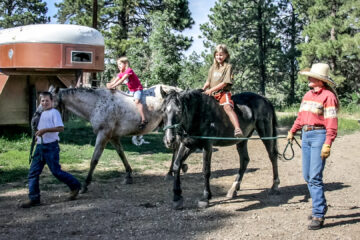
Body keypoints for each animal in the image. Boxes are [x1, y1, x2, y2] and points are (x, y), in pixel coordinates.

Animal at [48, 85, 181, 193]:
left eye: (47, 101)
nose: (40, 115)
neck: (96, 103)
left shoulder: (103, 135)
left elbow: (94, 160)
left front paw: (85, 185)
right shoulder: (113, 137)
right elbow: (121, 154)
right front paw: (128, 175)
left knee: (176, 147)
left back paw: (170, 173)